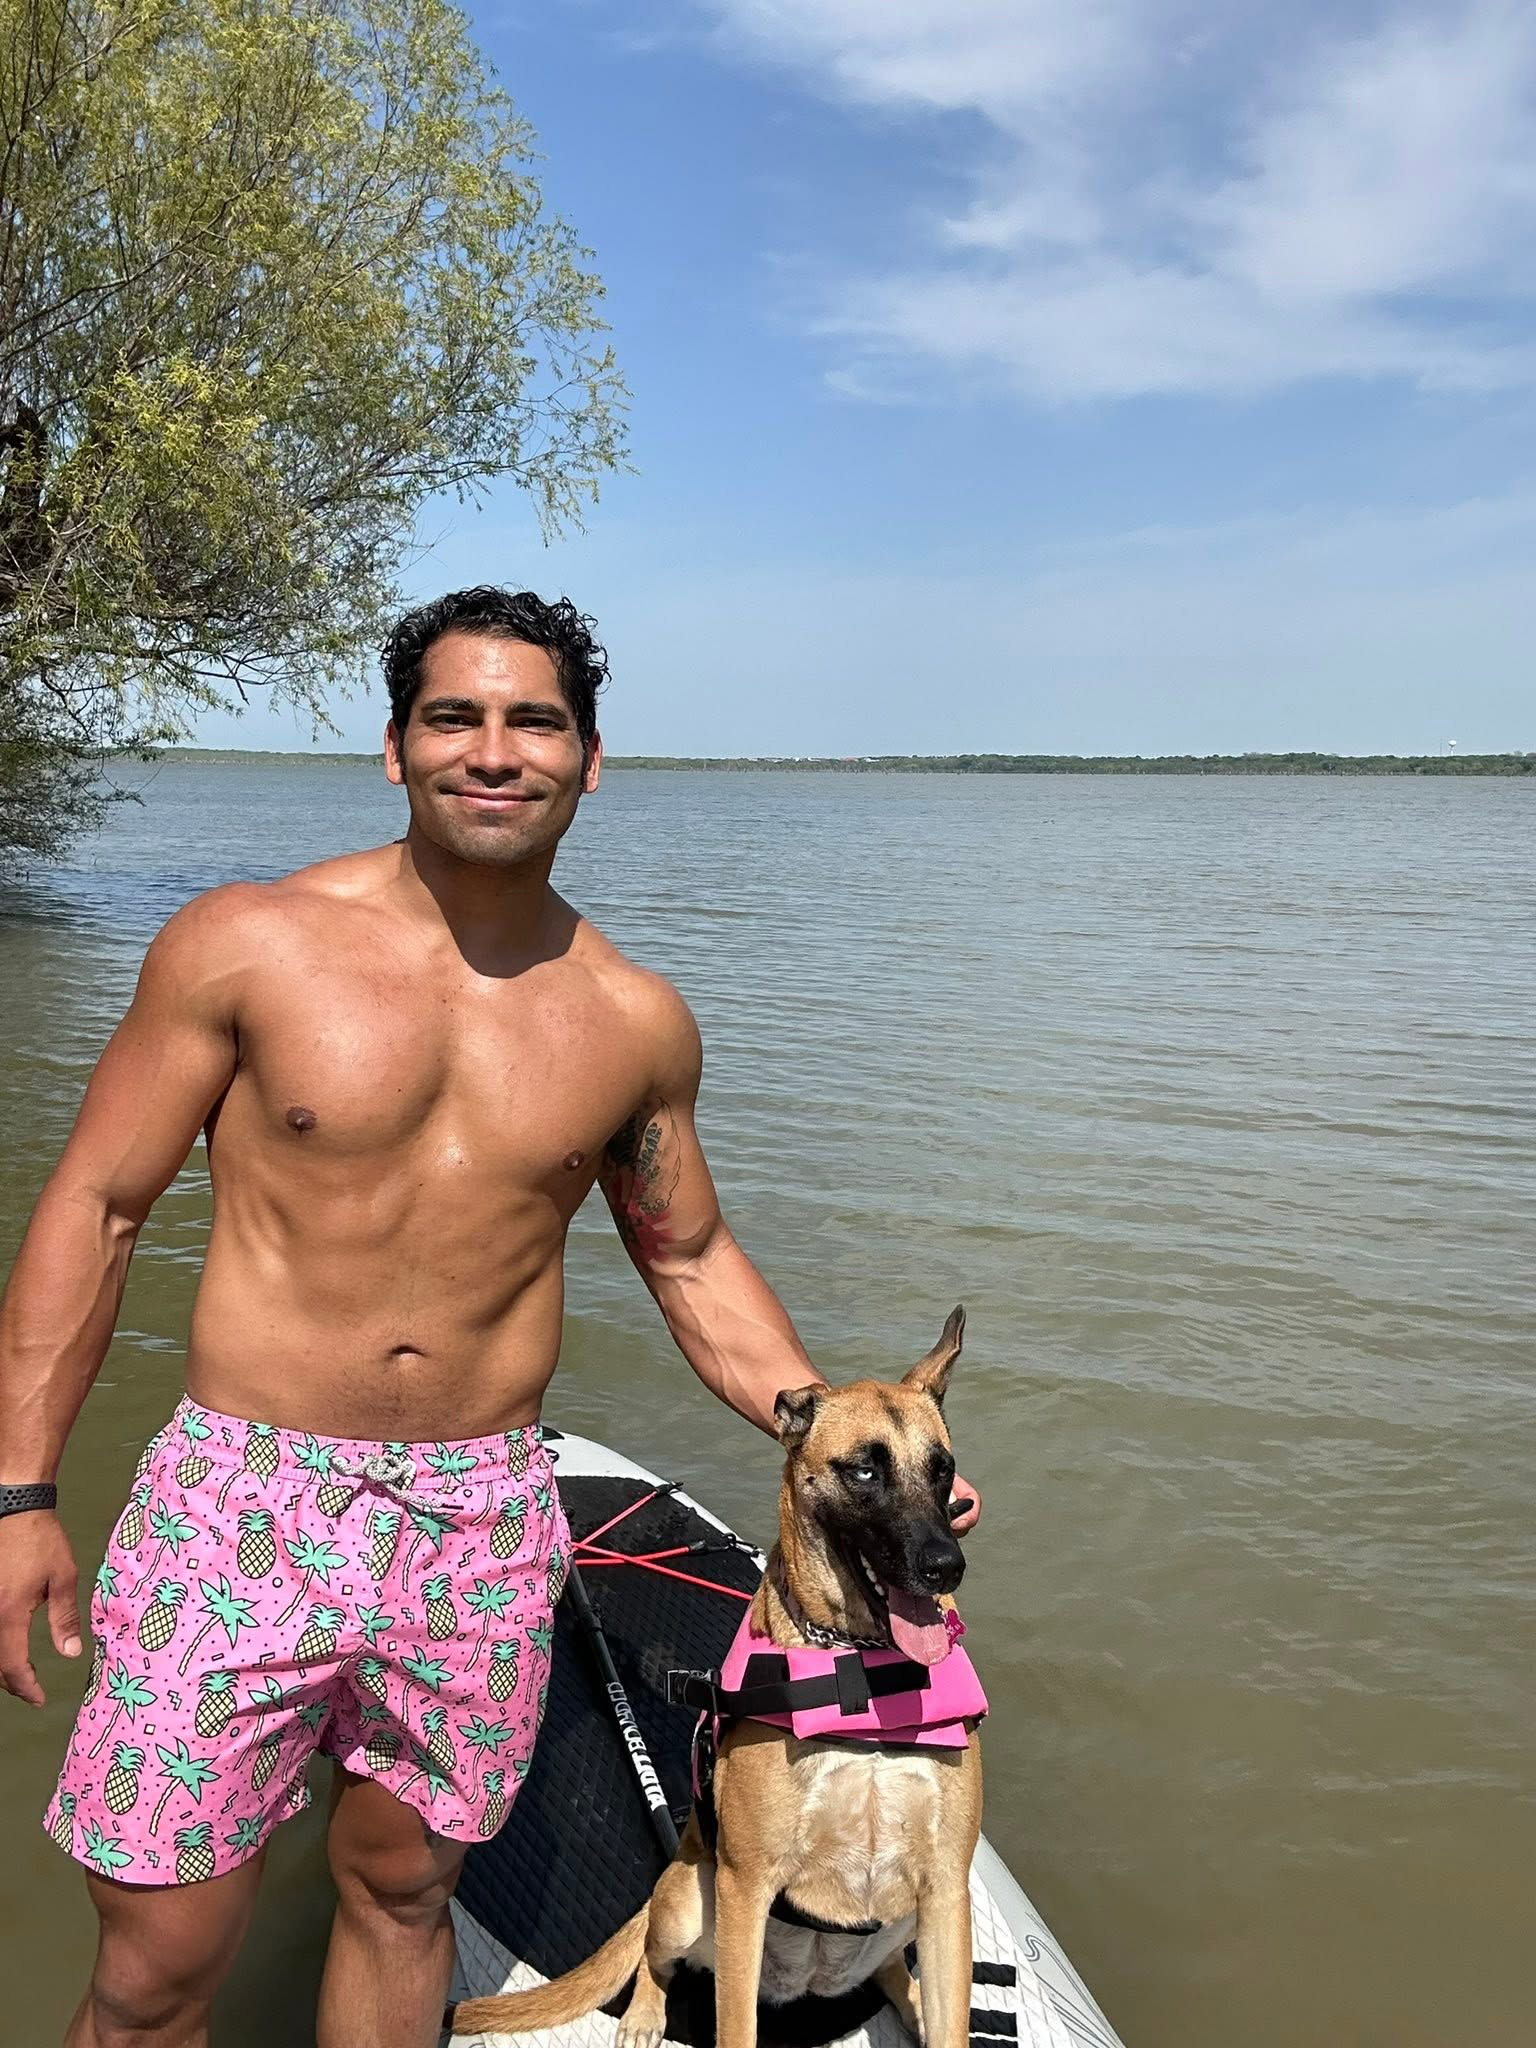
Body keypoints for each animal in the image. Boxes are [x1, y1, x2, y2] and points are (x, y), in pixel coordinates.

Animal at [451, 1307, 982, 2048]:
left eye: (943, 1470)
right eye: (864, 1472)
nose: (944, 1565)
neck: (862, 1671)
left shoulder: (945, 1890)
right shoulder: (745, 1887)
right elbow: (732, 2023)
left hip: (904, 1927)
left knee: (891, 1977)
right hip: (686, 1897)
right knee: (655, 1960)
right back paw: (644, 2017)